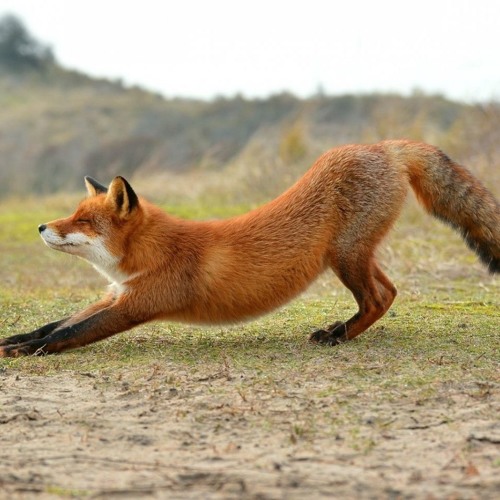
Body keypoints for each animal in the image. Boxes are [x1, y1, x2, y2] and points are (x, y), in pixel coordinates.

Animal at [0, 141, 498, 358]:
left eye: (84, 222)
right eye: (72, 213)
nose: (42, 226)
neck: (148, 256)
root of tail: (383, 145)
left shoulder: (137, 303)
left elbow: (67, 334)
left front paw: (29, 353)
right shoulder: (116, 294)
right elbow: (55, 324)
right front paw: (16, 340)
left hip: (344, 257)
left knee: (378, 298)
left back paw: (337, 336)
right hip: (354, 255)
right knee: (389, 292)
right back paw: (343, 329)